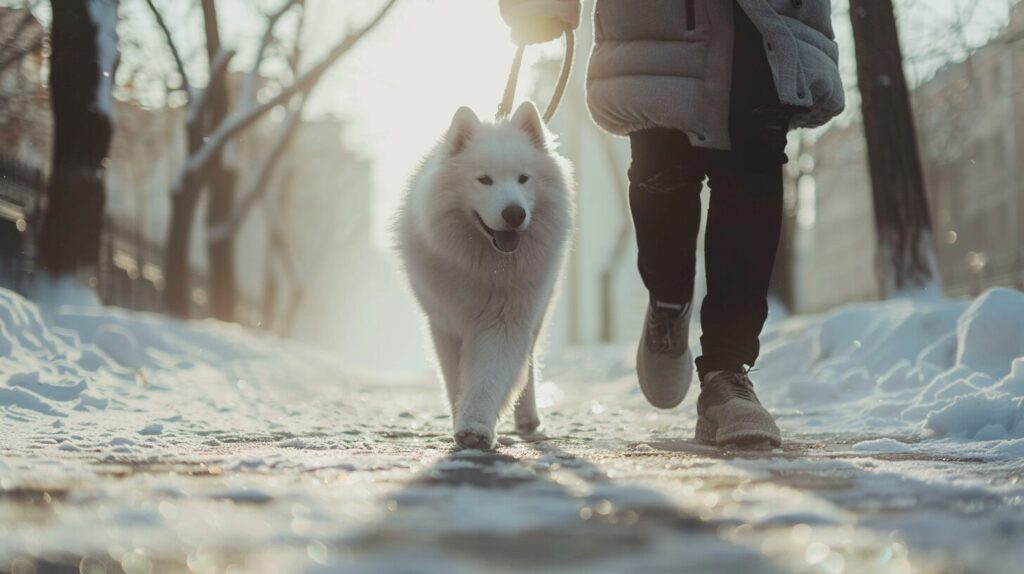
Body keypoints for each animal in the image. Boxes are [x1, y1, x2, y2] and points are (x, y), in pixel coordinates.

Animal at [395, 103, 577, 452]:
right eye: (484, 180)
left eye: (523, 178)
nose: (514, 213)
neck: (485, 266)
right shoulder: (446, 325)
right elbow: (456, 379)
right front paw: (462, 421)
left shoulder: (505, 321)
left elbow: (489, 375)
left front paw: (476, 428)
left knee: (528, 364)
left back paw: (528, 418)